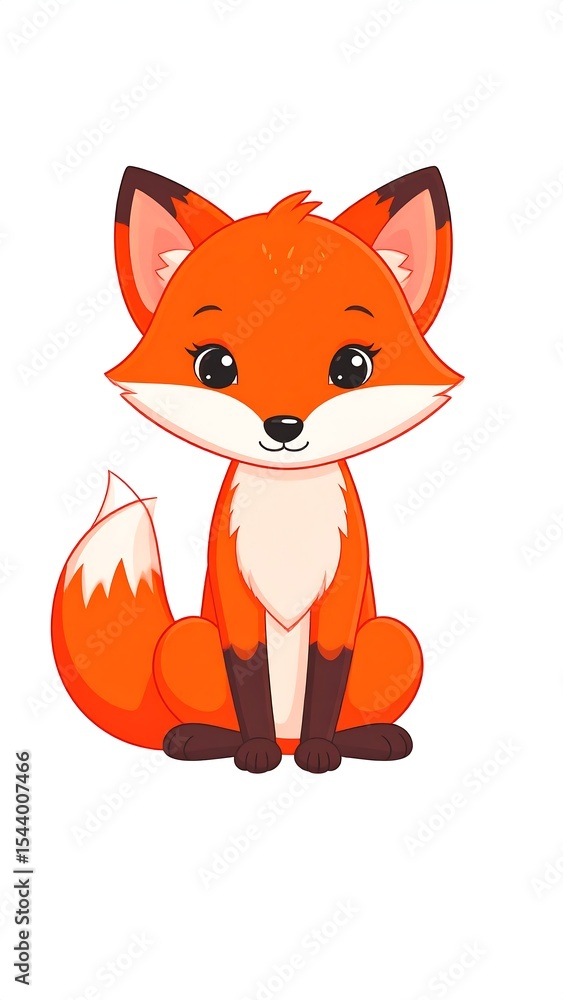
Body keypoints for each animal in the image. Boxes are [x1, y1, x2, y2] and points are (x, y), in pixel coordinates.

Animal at [51, 164, 462, 773]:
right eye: (214, 365)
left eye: (353, 366)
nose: (283, 426)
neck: (286, 511)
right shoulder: (234, 594)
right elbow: (248, 675)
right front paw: (256, 751)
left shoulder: (341, 598)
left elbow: (327, 675)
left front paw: (320, 751)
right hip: (186, 640)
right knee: (201, 719)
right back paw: (206, 740)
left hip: (393, 639)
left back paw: (365, 740)